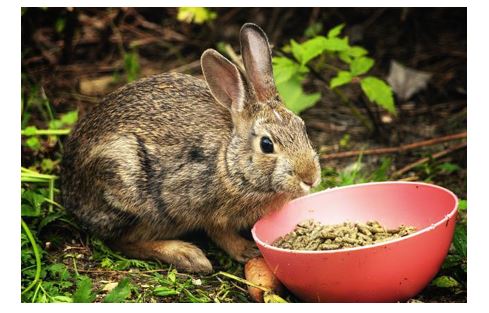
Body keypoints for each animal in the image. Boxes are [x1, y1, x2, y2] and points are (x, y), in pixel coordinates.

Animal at [60, 23, 320, 272]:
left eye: (302, 127)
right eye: (267, 145)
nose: (310, 178)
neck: (229, 162)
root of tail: (69, 192)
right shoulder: (198, 205)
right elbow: (219, 233)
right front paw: (247, 250)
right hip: (126, 186)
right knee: (120, 241)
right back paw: (187, 256)